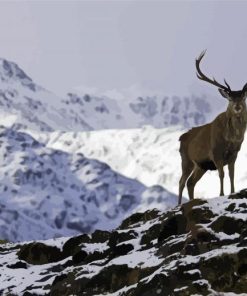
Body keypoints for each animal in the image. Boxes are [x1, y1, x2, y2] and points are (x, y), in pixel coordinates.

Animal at [178, 50, 247, 206]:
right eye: (230, 98)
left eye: (243, 97)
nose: (237, 106)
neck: (231, 139)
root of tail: (181, 138)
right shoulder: (215, 152)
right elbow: (221, 174)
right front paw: (221, 194)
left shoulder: (234, 154)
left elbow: (231, 174)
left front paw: (233, 192)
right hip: (186, 159)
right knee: (181, 181)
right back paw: (178, 204)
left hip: (201, 165)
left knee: (190, 182)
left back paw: (192, 200)